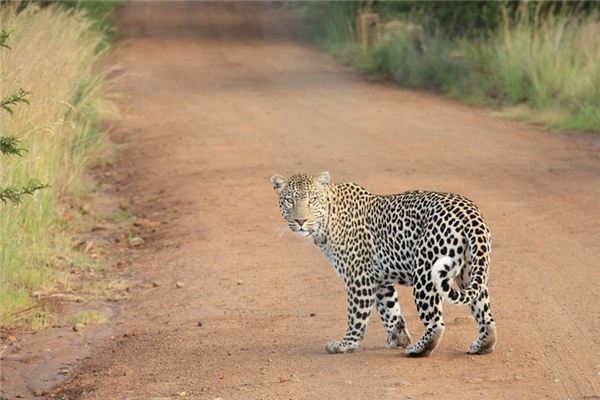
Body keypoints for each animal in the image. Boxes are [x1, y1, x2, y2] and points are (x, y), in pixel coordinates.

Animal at [272, 171, 496, 356]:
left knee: (436, 323)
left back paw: (418, 349)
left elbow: (356, 314)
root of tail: (470, 213)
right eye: (289, 201)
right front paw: (398, 338)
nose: (300, 221)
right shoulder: (380, 279)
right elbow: (390, 310)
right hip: (471, 271)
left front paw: (346, 344)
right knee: (485, 315)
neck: (326, 222)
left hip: (425, 273)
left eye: (312, 201)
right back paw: (482, 345)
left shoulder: (359, 277)